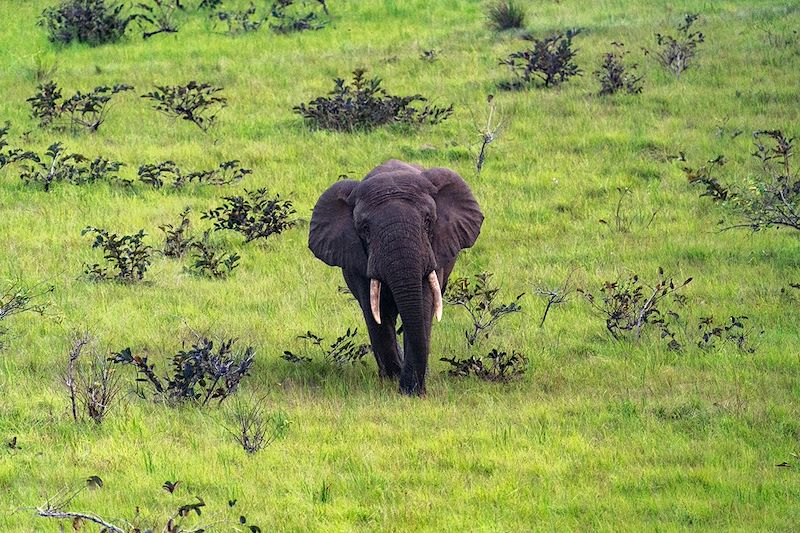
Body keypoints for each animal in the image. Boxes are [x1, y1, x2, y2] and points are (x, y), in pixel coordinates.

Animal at [306, 160, 482, 392]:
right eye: (365, 229)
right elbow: (377, 311)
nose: (411, 390)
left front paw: (410, 389)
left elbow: (423, 306)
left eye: (428, 221)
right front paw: (393, 380)